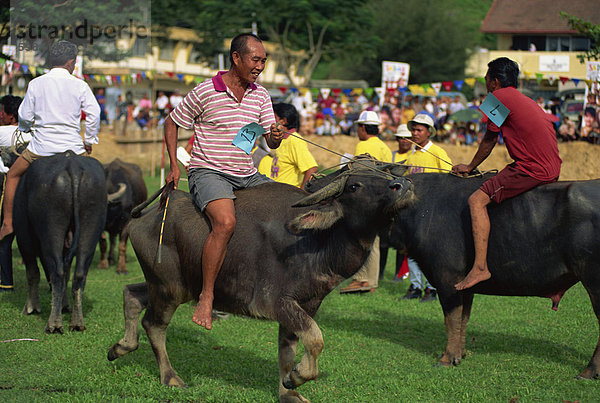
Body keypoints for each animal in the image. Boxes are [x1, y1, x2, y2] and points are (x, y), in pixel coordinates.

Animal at [16, 152, 108, 334]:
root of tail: (73, 166)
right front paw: (65, 306)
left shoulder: (23, 239)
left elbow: (33, 272)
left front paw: (31, 307)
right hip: (90, 227)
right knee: (78, 274)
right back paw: (77, 322)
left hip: (51, 229)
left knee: (57, 272)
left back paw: (54, 324)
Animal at [108, 166, 414, 402]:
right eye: (354, 186)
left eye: (385, 175)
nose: (404, 185)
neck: (316, 242)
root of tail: (144, 217)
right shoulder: (275, 302)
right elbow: (315, 339)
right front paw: (297, 378)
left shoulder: (307, 306)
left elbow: (288, 351)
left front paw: (290, 388)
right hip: (169, 289)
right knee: (154, 324)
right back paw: (170, 377)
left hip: (167, 284)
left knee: (131, 293)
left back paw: (121, 346)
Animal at [308, 168, 600, 382]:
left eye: (354, 185)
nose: (312, 180)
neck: (419, 209)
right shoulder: (464, 286)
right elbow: (463, 319)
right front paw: (460, 353)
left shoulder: (447, 281)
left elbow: (451, 319)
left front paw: (447, 358)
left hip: (594, 281)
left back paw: (588, 371)